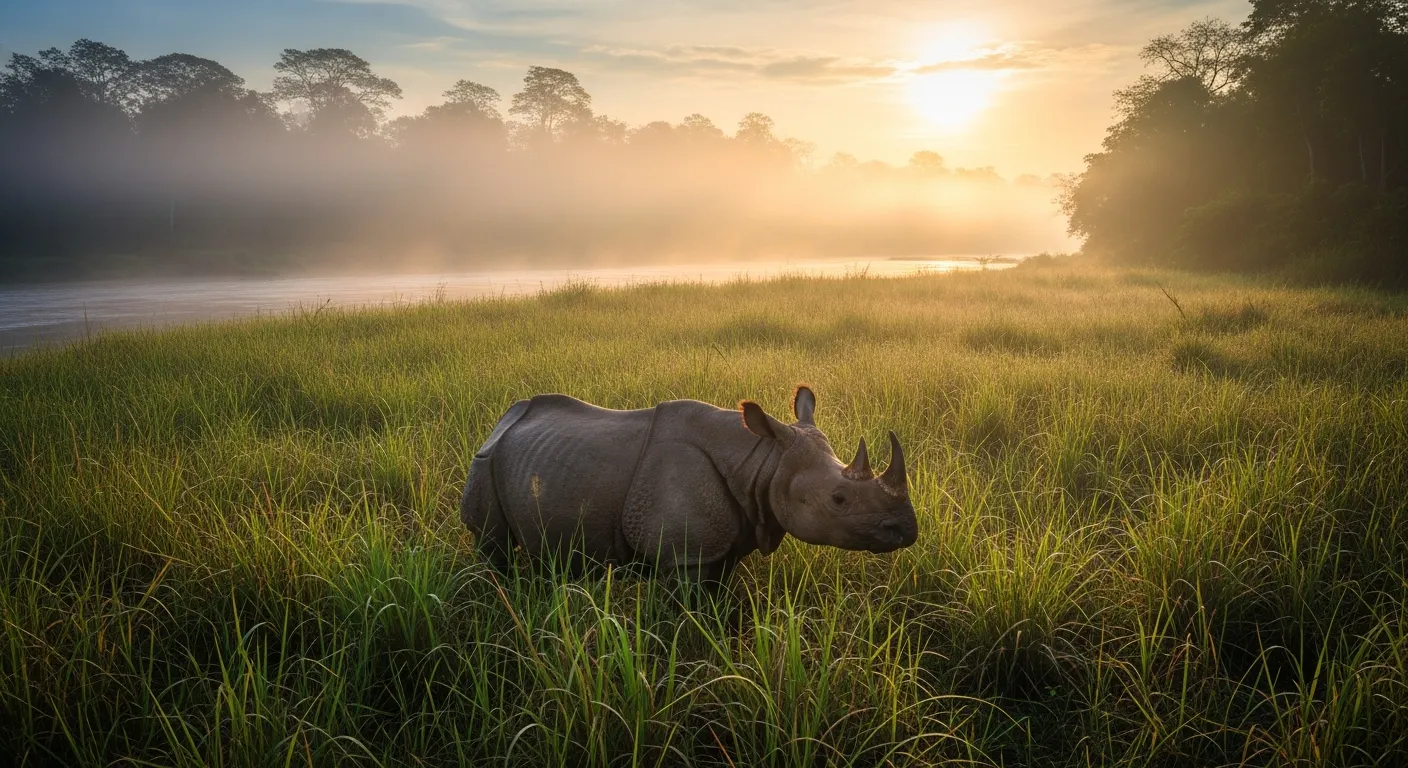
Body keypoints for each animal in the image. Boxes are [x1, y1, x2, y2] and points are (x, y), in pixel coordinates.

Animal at [459, 386, 918, 586]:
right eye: (838, 499)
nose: (907, 530)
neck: (763, 462)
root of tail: (501, 423)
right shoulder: (686, 555)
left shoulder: (723, 542)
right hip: (484, 464)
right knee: (494, 546)